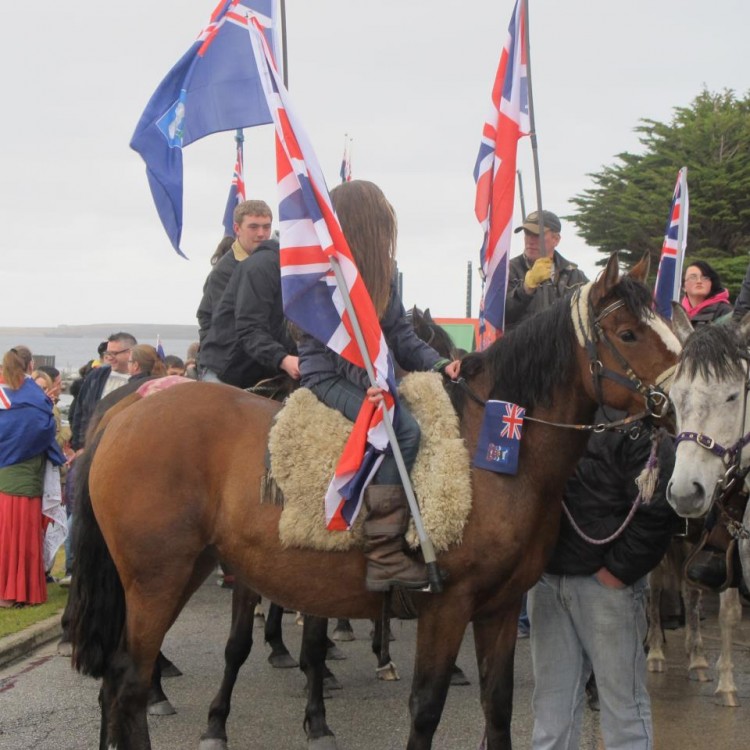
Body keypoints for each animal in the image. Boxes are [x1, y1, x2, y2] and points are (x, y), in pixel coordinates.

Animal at [69, 254, 680, 750]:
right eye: (628, 333)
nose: (678, 405)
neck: (491, 448)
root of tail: (126, 411)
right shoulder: (446, 606)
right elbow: (425, 708)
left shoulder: (501, 609)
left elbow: (499, 708)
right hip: (158, 579)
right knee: (129, 682)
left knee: (115, 682)